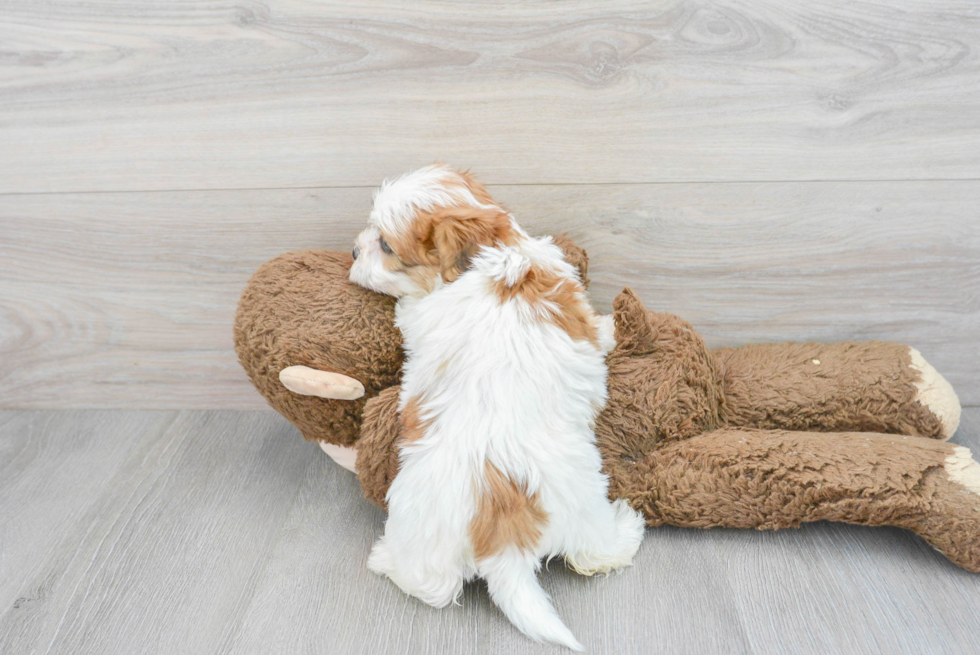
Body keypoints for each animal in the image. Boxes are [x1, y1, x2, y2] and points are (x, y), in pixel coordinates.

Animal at [348, 165, 648, 652]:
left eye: (386, 246)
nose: (355, 249)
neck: (493, 252)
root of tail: (503, 535)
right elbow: (597, 330)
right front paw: (612, 327)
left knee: (434, 586)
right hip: (583, 502)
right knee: (591, 553)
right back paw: (627, 528)